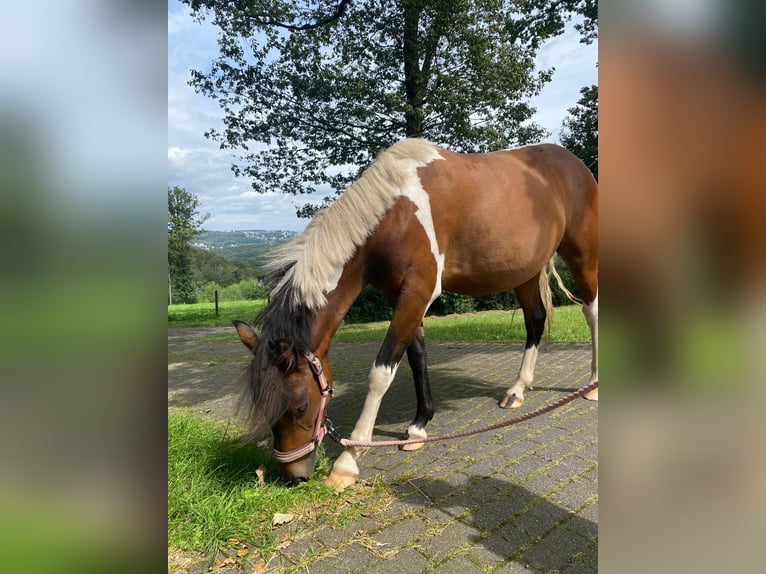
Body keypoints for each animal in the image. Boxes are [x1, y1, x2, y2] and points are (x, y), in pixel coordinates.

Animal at [234, 138, 600, 490]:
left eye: (299, 406)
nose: (293, 475)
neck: (397, 213)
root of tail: (573, 164)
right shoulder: (403, 297)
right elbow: (416, 357)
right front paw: (419, 426)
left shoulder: (418, 293)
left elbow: (381, 372)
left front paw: (348, 462)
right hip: (524, 271)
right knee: (535, 320)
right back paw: (517, 390)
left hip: (582, 256)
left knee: (592, 311)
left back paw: (593, 384)